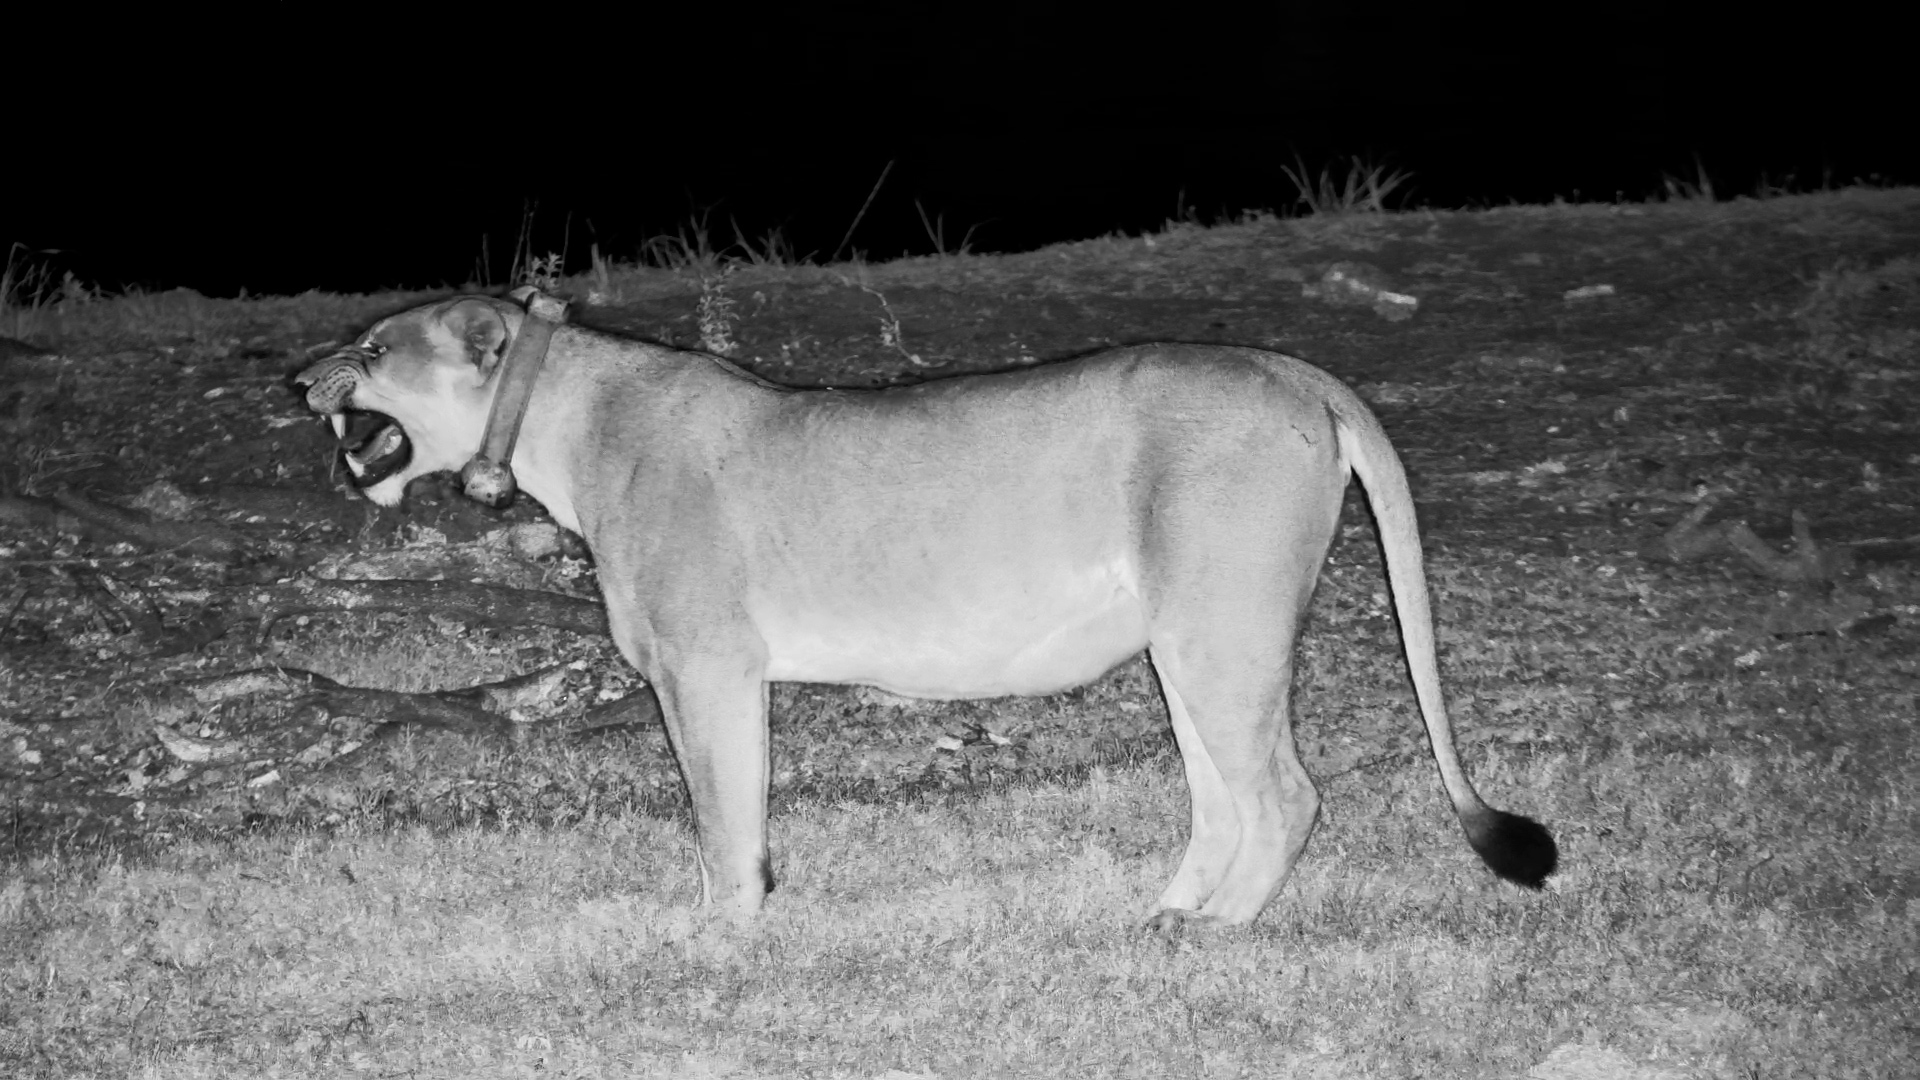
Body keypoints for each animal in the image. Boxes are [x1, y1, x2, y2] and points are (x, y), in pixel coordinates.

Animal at [295, 292, 1556, 929]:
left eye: (372, 348)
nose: (300, 381)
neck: (556, 415)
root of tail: (1295, 369)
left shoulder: (706, 667)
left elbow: (718, 814)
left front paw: (723, 932)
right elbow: (728, 812)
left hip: (1220, 631)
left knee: (1288, 797)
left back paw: (1213, 930)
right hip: (1189, 644)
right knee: (1221, 799)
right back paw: (1162, 914)